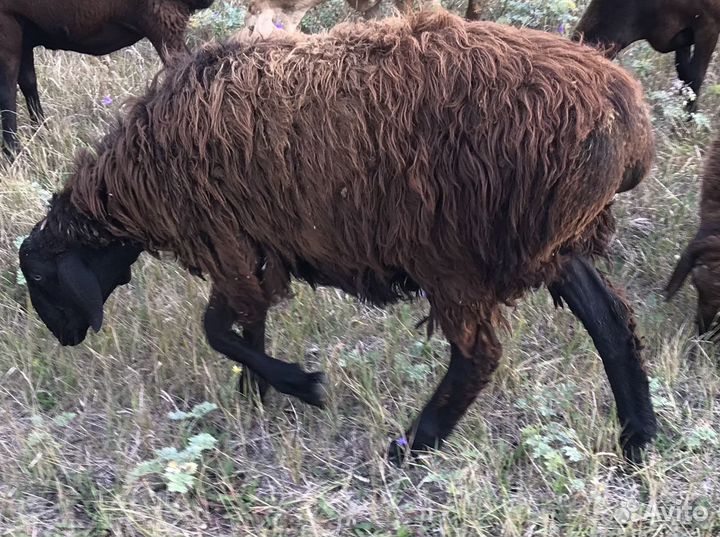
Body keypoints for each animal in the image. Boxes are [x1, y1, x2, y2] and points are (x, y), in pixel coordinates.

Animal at [0, 0, 214, 157]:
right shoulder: (22, 28)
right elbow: (28, 82)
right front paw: (41, 132)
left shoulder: (6, 23)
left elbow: (7, 93)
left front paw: (12, 154)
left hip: (161, 17)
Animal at [16, 9, 660, 460]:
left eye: (41, 279)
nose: (66, 339)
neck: (135, 178)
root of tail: (628, 118)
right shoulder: (253, 245)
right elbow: (245, 327)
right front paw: (255, 397)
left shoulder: (227, 241)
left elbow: (217, 331)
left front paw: (302, 385)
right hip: (549, 240)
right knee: (609, 319)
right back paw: (638, 437)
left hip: (455, 251)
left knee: (479, 356)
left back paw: (408, 449)